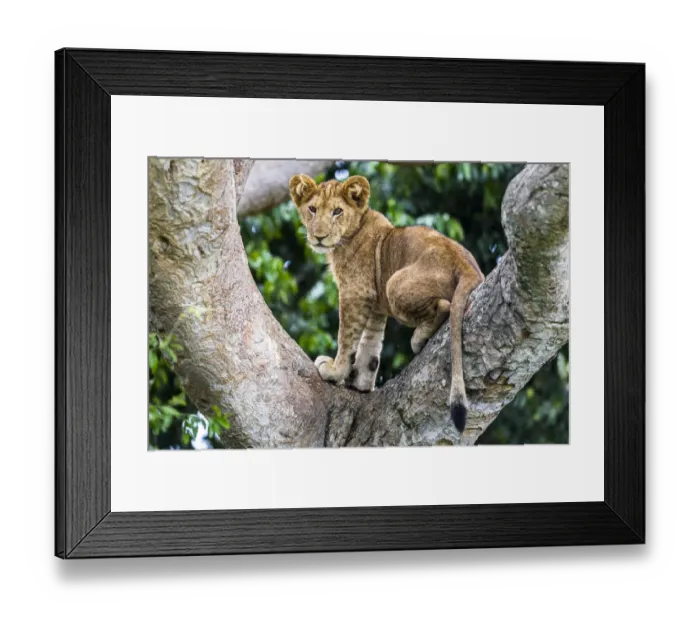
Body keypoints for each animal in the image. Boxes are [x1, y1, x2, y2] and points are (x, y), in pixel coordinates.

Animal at [289, 173, 484, 433]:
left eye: (337, 211)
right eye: (312, 209)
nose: (319, 236)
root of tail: (466, 264)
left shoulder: (355, 292)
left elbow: (347, 337)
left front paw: (334, 370)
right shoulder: (375, 304)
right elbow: (369, 345)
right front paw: (360, 383)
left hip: (394, 284)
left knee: (443, 306)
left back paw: (419, 339)